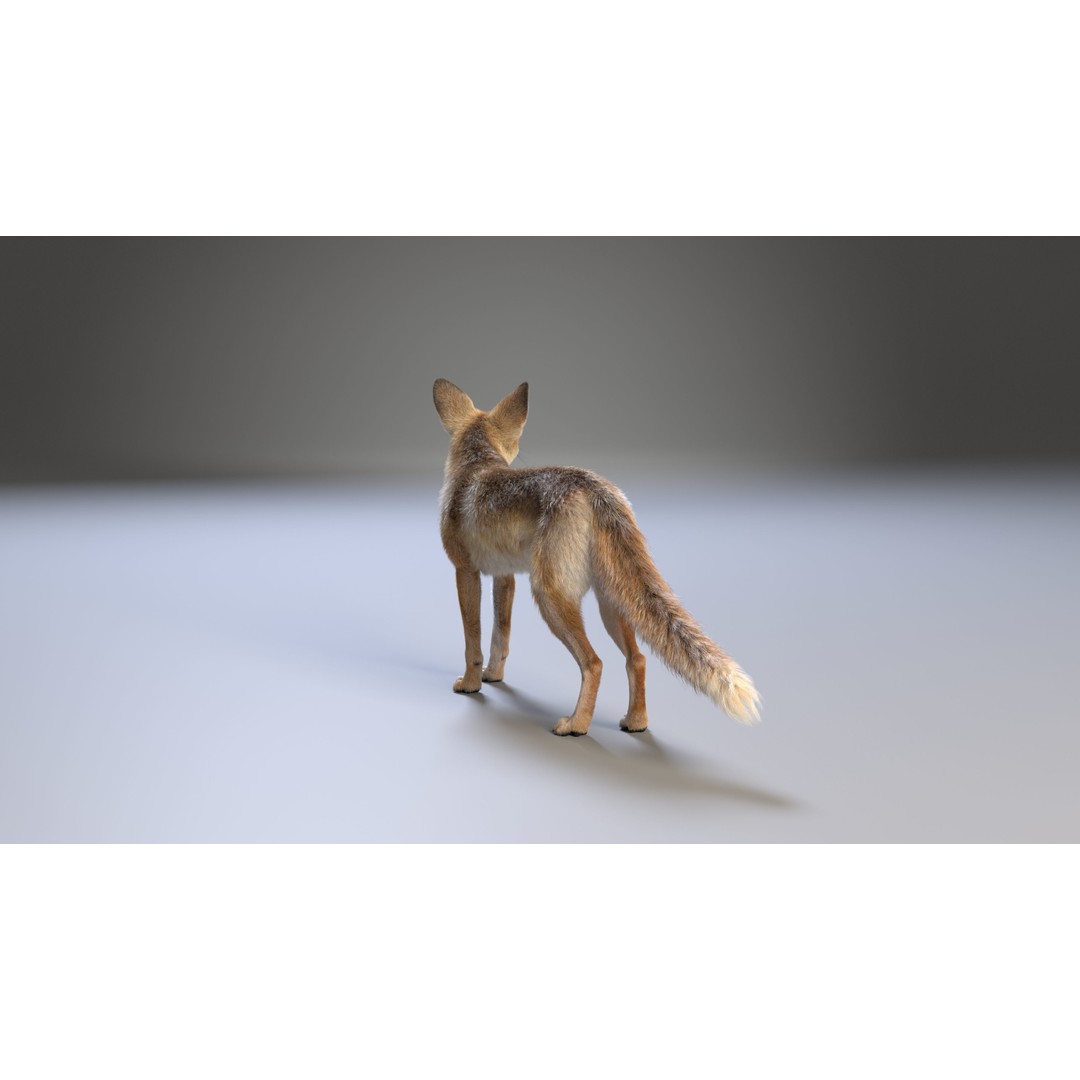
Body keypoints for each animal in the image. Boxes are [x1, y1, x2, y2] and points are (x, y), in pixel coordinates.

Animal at [433, 378, 760, 736]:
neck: (476, 467)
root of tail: (595, 488)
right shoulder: (503, 577)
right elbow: (499, 638)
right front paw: (494, 676)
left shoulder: (465, 570)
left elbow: (473, 641)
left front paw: (471, 684)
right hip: (612, 602)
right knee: (637, 659)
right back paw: (636, 721)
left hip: (550, 597)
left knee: (594, 663)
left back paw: (576, 724)